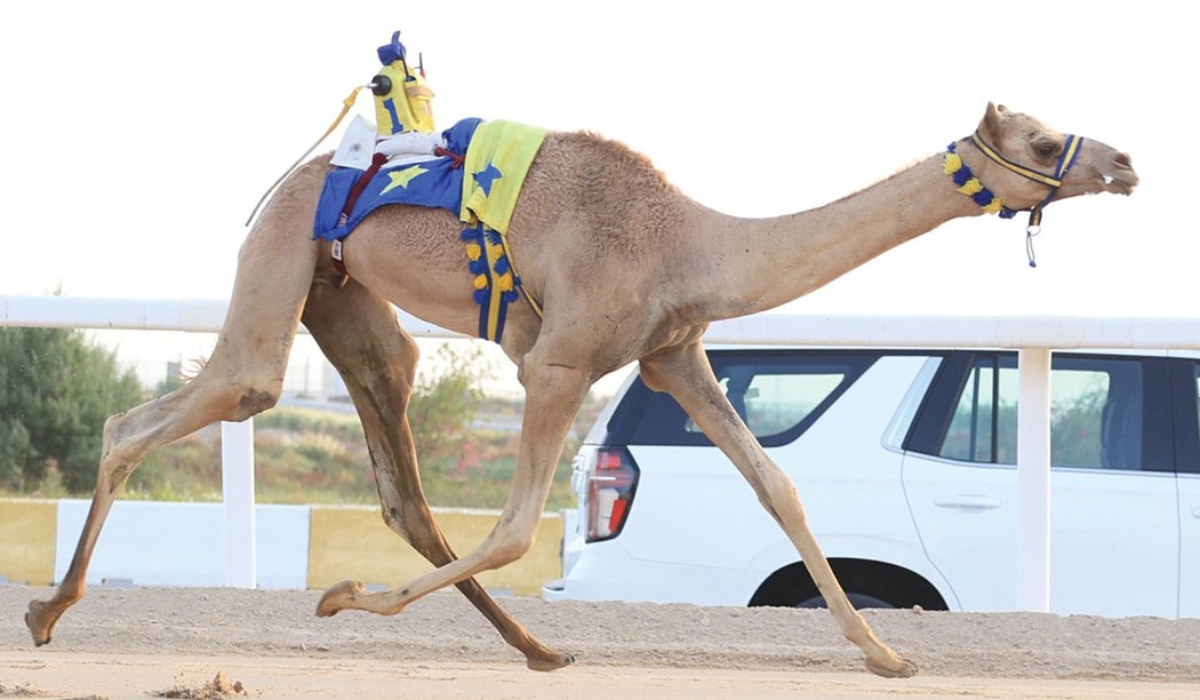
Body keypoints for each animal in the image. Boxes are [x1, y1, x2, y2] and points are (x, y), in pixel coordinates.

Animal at [25, 102, 1136, 678]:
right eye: (1043, 141)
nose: (1124, 161)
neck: (689, 239)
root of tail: (294, 177)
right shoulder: (558, 361)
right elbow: (521, 527)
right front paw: (341, 598)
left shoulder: (674, 355)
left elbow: (780, 489)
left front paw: (884, 652)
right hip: (279, 262)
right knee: (167, 410)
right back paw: (48, 609)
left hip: (344, 304)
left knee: (400, 484)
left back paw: (539, 647)